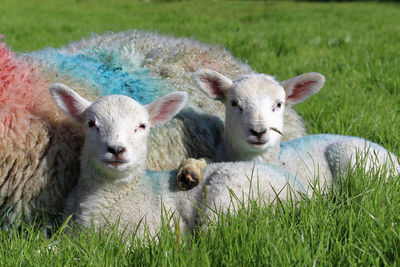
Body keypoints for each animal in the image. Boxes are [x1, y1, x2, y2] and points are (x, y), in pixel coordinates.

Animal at [50, 85, 304, 238]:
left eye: (142, 126)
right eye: (91, 124)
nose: (116, 149)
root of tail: (299, 189)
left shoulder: (143, 235)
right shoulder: (68, 234)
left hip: (225, 200)